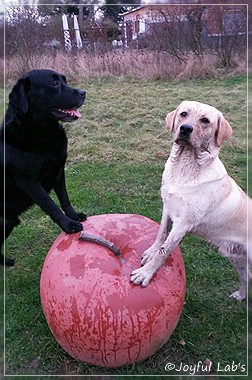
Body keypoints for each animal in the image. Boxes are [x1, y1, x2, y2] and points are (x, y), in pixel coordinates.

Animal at [0, 69, 86, 264]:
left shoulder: (58, 171)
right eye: (54, 83)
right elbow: (51, 205)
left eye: (64, 80)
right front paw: (69, 224)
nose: (83, 92)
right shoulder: (29, 182)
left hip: (8, 224)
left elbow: (64, 198)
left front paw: (73, 215)